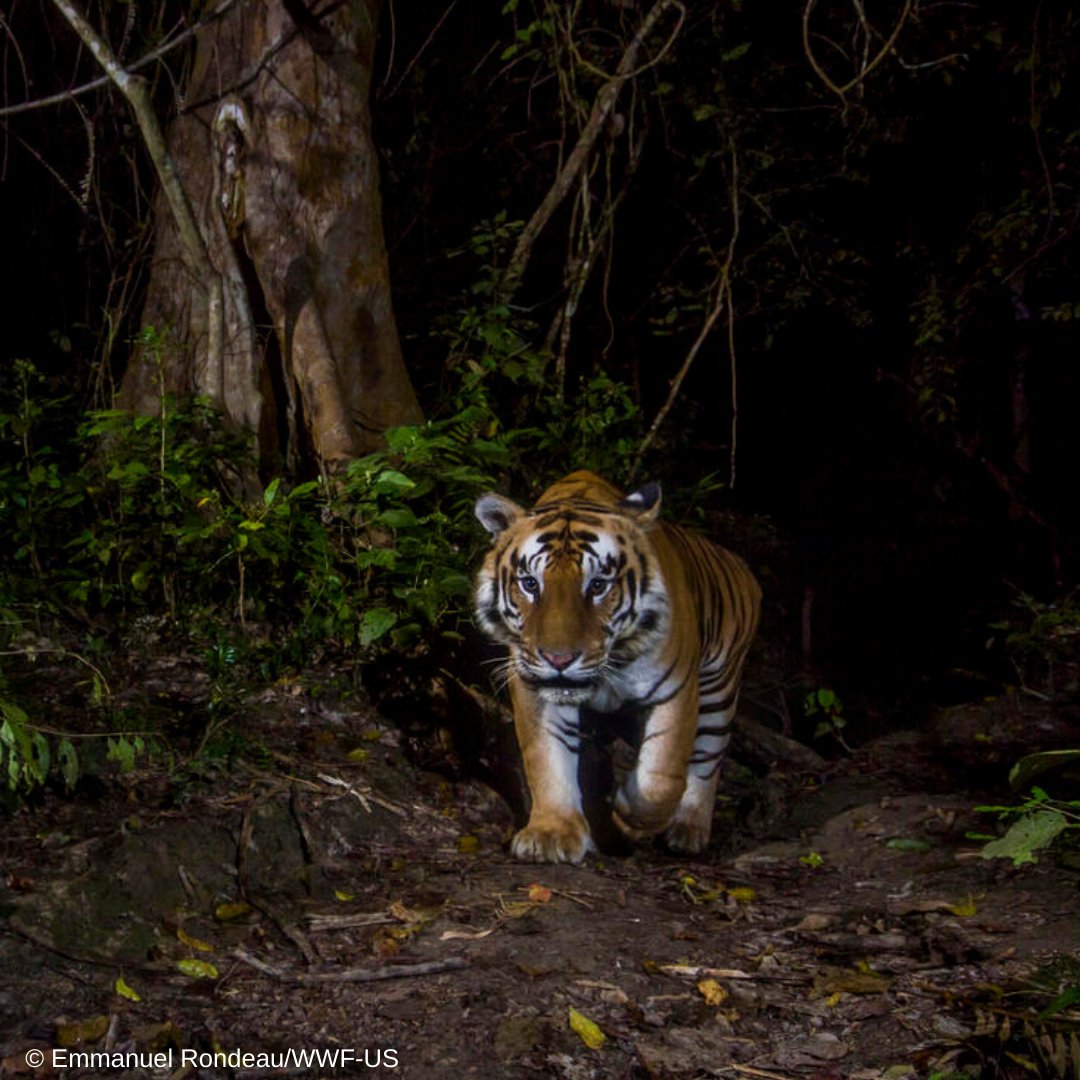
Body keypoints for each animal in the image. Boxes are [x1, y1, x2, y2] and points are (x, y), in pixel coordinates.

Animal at [474, 470, 761, 863]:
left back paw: (688, 830)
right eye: (530, 584)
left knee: (708, 760)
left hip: (719, 690)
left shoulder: (677, 690)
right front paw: (551, 835)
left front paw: (627, 813)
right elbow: (546, 758)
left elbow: (662, 777)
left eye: (597, 586)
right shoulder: (535, 685)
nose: (558, 659)